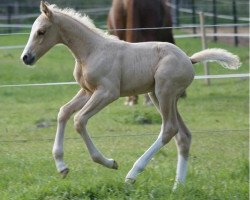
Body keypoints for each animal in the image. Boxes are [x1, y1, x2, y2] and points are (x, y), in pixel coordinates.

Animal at [21, 1, 240, 189]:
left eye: (41, 31)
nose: (26, 57)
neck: (91, 51)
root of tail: (189, 58)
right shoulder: (87, 91)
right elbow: (63, 112)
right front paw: (62, 167)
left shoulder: (108, 92)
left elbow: (79, 120)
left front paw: (110, 162)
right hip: (159, 96)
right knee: (183, 136)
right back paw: (178, 187)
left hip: (164, 92)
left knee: (169, 129)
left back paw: (132, 174)